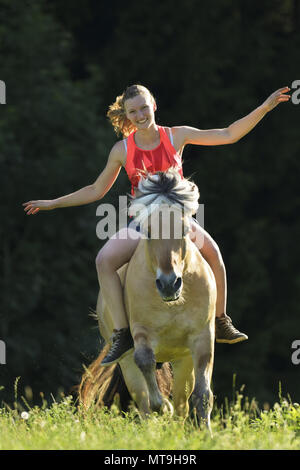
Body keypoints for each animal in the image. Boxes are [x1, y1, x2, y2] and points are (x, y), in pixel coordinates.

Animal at [78, 167, 217, 432]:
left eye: (184, 230)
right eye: (149, 232)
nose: (169, 283)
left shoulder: (202, 338)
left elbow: (203, 395)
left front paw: (207, 434)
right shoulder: (142, 335)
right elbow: (146, 367)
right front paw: (162, 407)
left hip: (183, 360)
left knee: (182, 403)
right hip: (126, 363)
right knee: (144, 402)